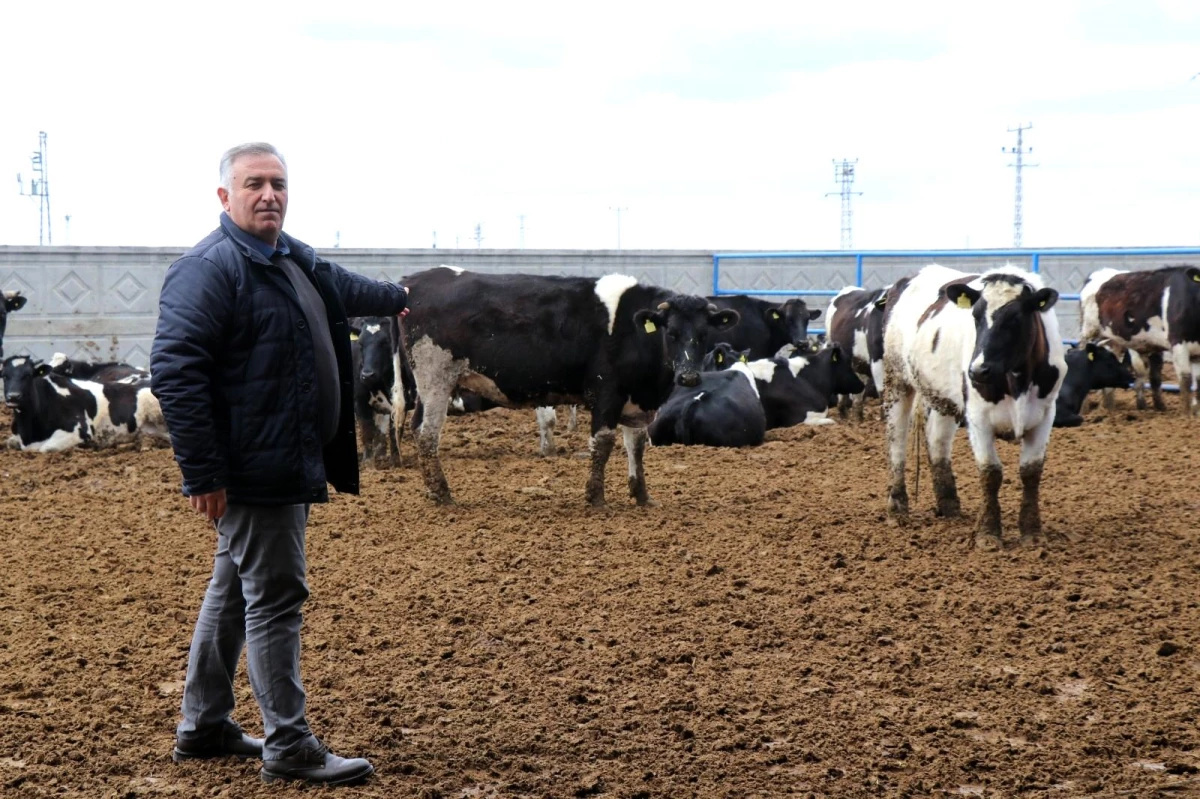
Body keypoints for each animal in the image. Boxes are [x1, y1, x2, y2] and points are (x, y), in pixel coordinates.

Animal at [1, 352, 169, 448]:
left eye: (28, 375)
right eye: (4, 375)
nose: (13, 396)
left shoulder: (79, 431)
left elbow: (45, 448)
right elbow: (10, 443)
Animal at [396, 267, 729, 503]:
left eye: (704, 334)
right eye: (671, 333)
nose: (688, 377)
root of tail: (417, 280)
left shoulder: (635, 400)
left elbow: (635, 445)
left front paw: (642, 497)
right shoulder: (606, 393)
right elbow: (603, 443)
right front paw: (596, 498)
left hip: (430, 386)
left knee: (416, 427)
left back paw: (433, 491)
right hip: (436, 378)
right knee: (427, 434)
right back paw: (443, 495)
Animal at [883, 263, 1070, 551]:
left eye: (1015, 319)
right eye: (976, 316)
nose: (979, 370)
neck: (1016, 380)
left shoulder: (1045, 416)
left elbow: (1031, 472)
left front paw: (1032, 533)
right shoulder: (978, 418)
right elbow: (990, 473)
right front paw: (988, 534)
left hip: (943, 397)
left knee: (937, 441)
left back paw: (949, 505)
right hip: (897, 380)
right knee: (897, 441)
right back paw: (897, 506)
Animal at [1080, 266, 1200, 417]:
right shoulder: (1177, 343)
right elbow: (1185, 380)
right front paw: (1187, 416)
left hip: (1112, 340)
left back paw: (1108, 408)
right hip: (1089, 331)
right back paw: (1085, 409)